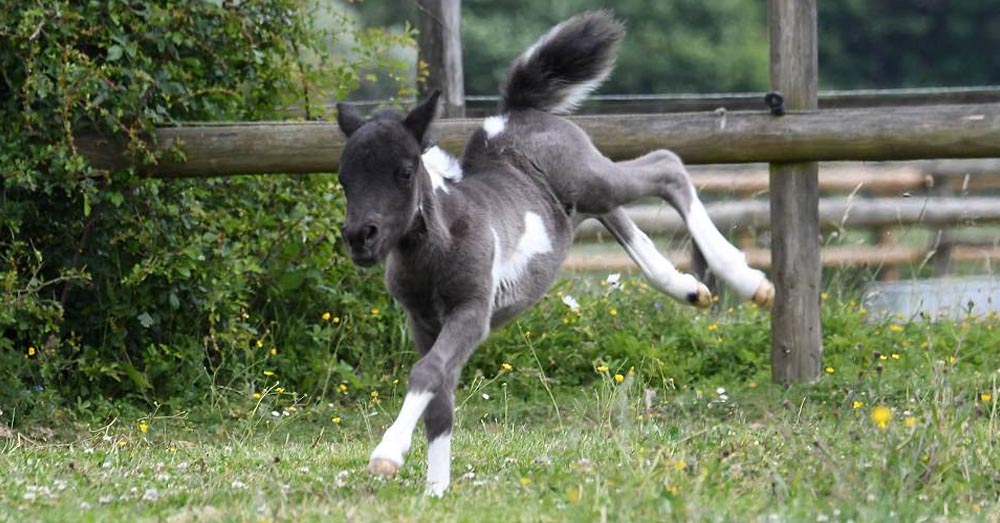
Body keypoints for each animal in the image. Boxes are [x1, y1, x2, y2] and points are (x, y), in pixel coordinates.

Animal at [336, 11, 772, 496]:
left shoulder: (472, 311)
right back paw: (689, 289)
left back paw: (747, 280)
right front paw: (436, 491)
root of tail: (515, 111)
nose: (360, 237)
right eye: (343, 178)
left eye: (405, 171)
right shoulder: (423, 320)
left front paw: (388, 454)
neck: (437, 244)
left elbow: (429, 374)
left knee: (667, 166)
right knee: (624, 216)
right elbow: (440, 399)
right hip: (581, 204)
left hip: (593, 179)